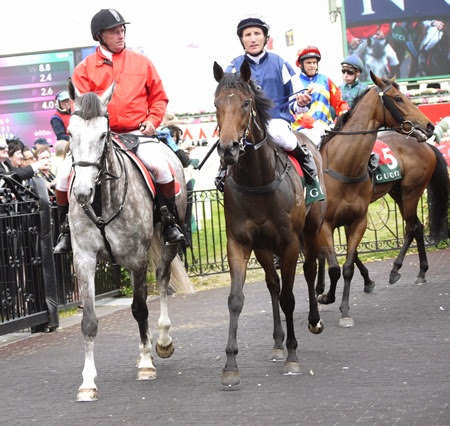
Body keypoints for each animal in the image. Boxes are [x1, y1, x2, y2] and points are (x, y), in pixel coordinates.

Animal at [66, 79, 194, 402]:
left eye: (103, 134)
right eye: (70, 133)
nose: (82, 191)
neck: (101, 202)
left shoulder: (136, 257)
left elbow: (139, 308)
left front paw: (147, 363)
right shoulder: (84, 258)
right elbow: (89, 320)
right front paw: (87, 382)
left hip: (167, 243)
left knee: (162, 280)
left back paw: (160, 342)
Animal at [213, 61, 325, 387]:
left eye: (245, 103)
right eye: (216, 104)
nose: (227, 149)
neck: (257, 179)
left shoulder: (289, 242)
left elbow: (289, 297)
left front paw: (293, 356)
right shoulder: (239, 242)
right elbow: (236, 299)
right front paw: (230, 365)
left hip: (312, 228)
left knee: (309, 270)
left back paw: (314, 320)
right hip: (264, 247)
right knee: (273, 285)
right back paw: (277, 342)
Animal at [315, 71, 434, 328]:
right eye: (398, 98)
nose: (429, 125)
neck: (342, 167)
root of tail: (428, 147)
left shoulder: (358, 221)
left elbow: (346, 266)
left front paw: (344, 309)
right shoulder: (326, 224)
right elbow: (334, 265)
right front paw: (325, 295)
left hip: (411, 192)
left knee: (412, 227)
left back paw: (400, 270)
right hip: (400, 193)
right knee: (417, 226)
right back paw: (419, 272)